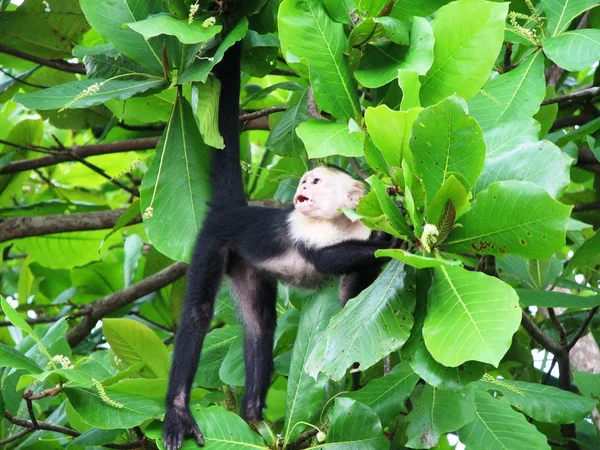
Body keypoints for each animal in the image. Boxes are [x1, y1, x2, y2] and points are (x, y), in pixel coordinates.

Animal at [164, 22, 394, 450]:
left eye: (315, 181)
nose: (302, 184)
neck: (341, 223)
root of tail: (234, 210)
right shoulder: (305, 225)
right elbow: (323, 258)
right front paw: (395, 243)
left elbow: (347, 299)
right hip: (213, 241)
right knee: (197, 315)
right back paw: (179, 409)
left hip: (246, 266)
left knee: (260, 326)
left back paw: (253, 413)